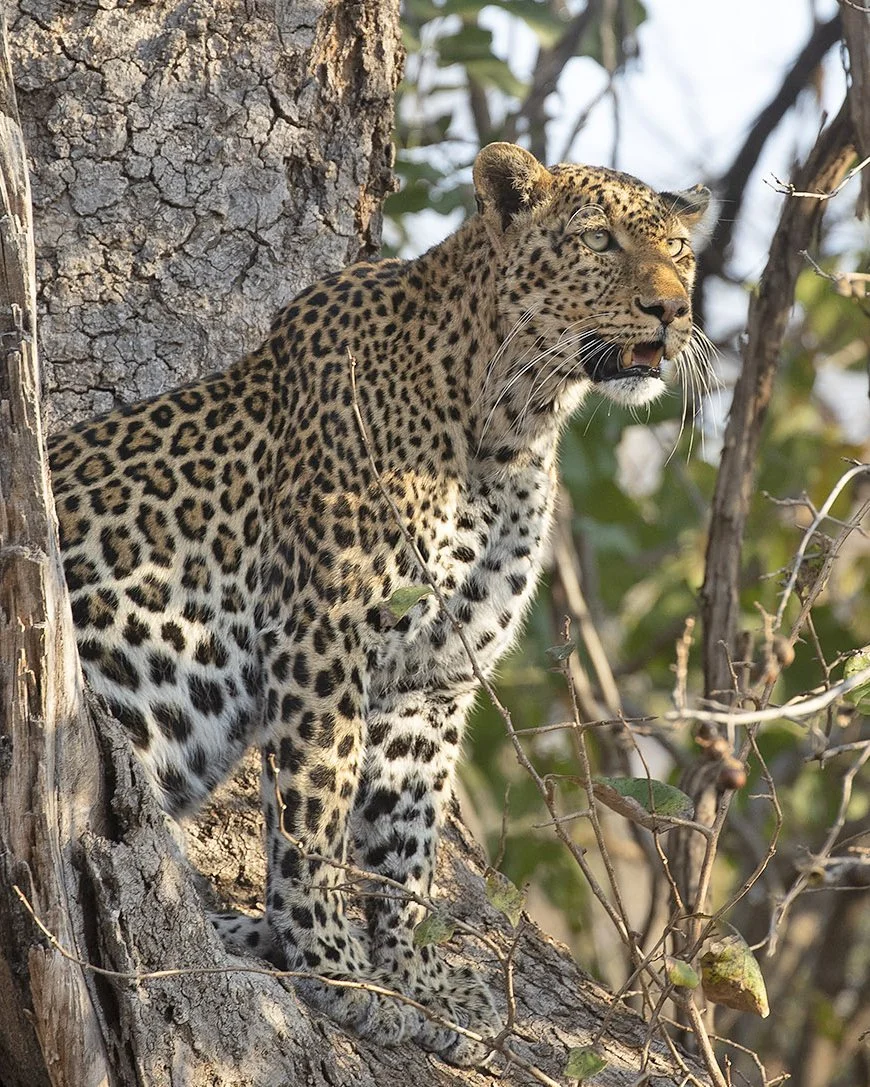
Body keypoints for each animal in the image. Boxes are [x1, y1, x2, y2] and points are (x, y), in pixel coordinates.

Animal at [49, 142, 712, 1065]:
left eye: (680, 251)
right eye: (598, 240)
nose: (673, 307)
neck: (510, 420)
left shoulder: (432, 679)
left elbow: (407, 841)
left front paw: (416, 977)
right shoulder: (321, 638)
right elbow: (318, 817)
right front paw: (338, 967)